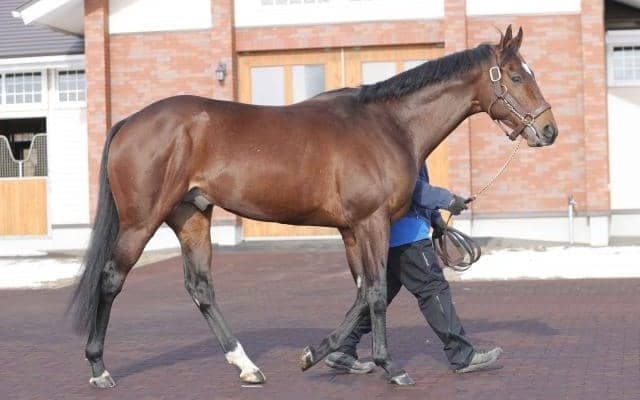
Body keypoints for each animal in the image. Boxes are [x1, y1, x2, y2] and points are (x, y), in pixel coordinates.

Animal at [69, 25, 557, 388]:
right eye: (517, 76)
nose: (549, 130)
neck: (387, 125)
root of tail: (130, 121)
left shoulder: (350, 229)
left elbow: (363, 292)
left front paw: (323, 355)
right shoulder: (371, 222)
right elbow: (375, 291)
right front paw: (390, 366)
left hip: (192, 216)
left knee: (201, 288)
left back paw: (247, 367)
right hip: (141, 221)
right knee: (111, 279)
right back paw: (98, 367)